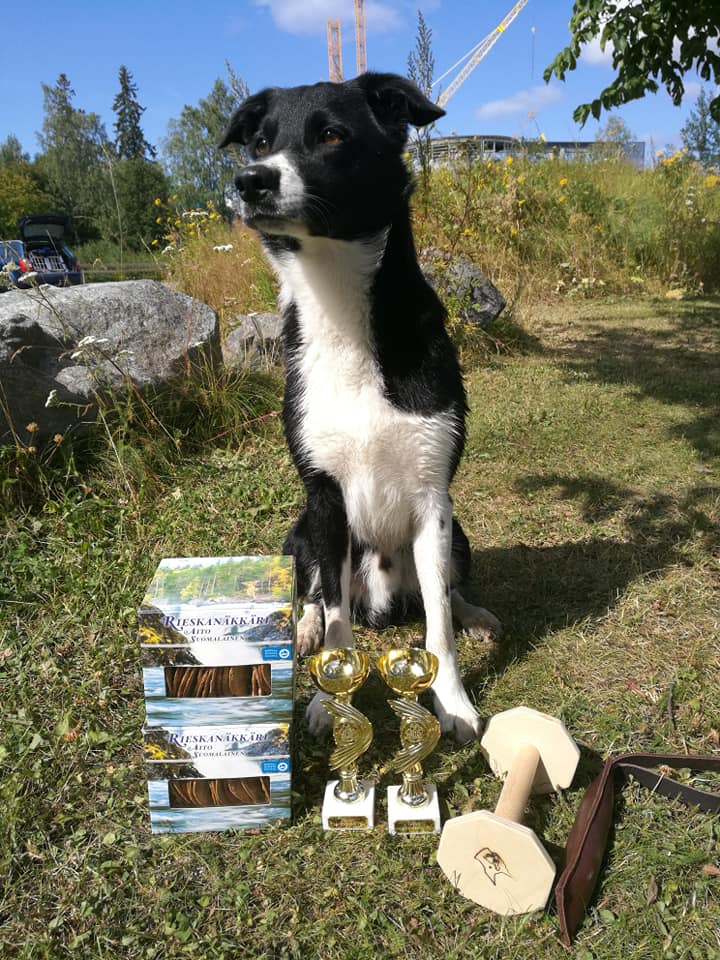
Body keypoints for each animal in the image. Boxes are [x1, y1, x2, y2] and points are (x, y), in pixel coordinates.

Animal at [220, 72, 501, 741]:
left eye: (330, 134)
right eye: (260, 141)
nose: (250, 181)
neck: (342, 306)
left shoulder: (433, 498)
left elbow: (438, 624)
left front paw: (452, 700)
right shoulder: (324, 498)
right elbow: (335, 614)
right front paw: (329, 700)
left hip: (460, 534)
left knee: (445, 594)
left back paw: (476, 613)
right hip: (297, 531)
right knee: (317, 594)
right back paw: (303, 629)